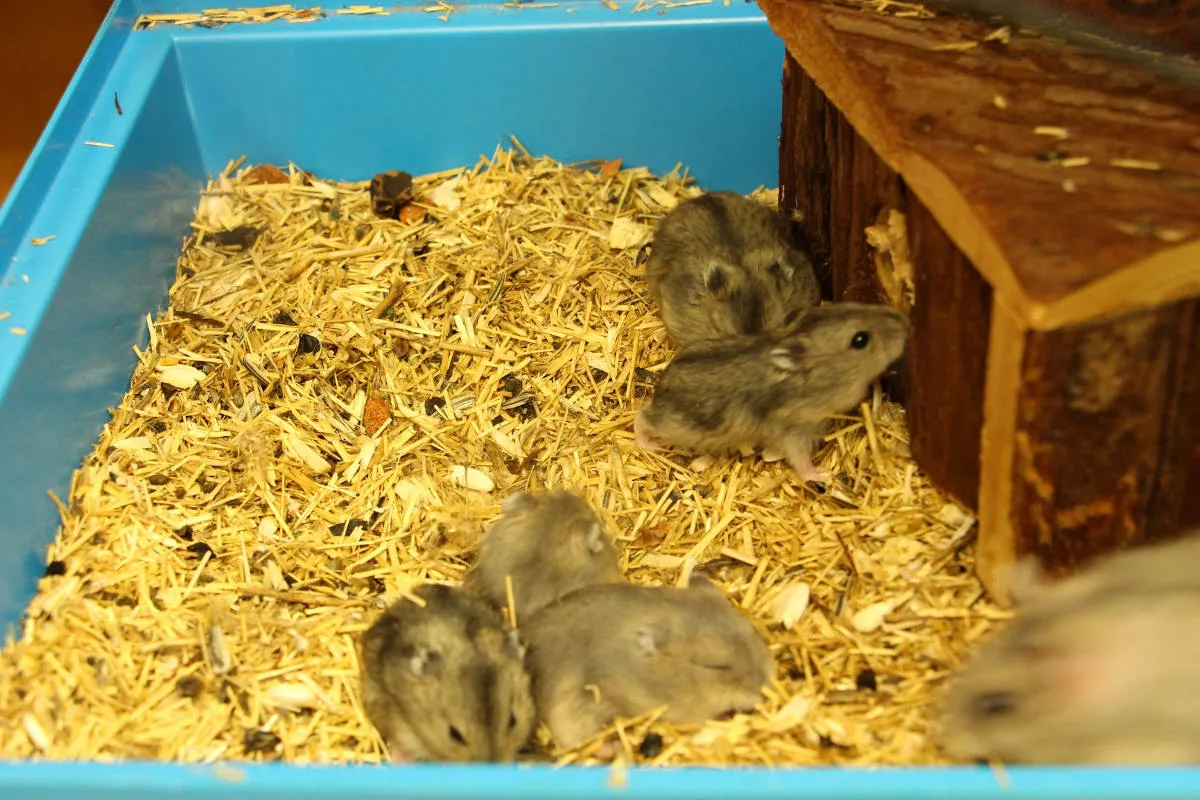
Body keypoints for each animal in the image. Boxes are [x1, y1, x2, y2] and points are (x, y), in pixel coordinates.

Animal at [633, 302, 909, 485]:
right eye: (860, 340)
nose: (905, 321)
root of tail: (661, 388)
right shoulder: (795, 433)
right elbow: (801, 461)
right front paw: (822, 474)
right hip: (676, 426)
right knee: (642, 416)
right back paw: (649, 445)